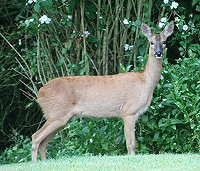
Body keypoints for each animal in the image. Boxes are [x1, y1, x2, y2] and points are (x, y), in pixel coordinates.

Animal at [31, 20, 173, 161]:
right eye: (151, 42)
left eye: (164, 41)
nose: (158, 53)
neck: (144, 82)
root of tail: (40, 93)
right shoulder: (128, 111)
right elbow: (131, 144)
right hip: (56, 114)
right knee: (35, 137)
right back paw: (35, 163)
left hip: (59, 117)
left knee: (43, 142)